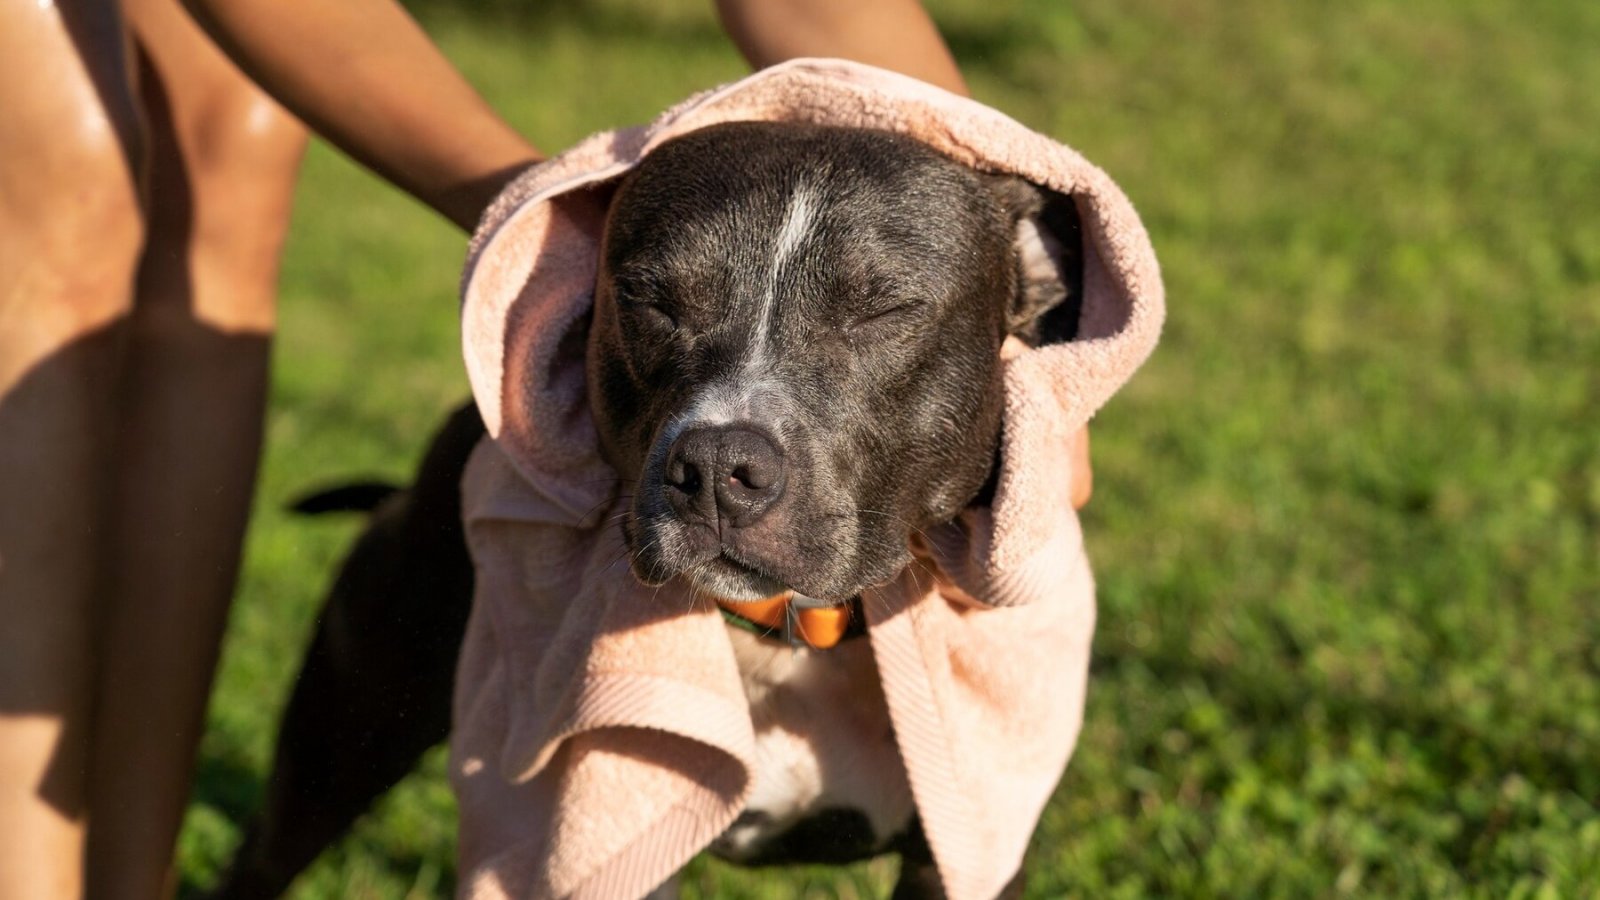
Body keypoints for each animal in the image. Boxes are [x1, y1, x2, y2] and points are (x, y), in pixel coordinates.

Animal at [212, 120, 1081, 896]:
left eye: (884, 310)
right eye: (649, 300)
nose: (718, 467)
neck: (786, 640)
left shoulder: (966, 853)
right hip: (341, 739)